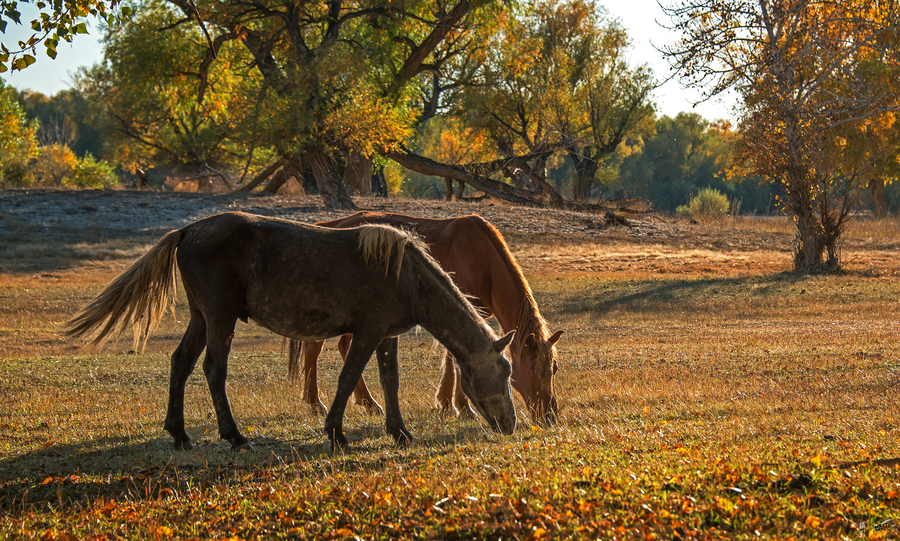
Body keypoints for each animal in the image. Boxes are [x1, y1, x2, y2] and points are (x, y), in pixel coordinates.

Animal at [67, 213, 516, 450]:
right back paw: (235, 437)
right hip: (220, 319)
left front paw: (400, 432)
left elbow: (390, 381)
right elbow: (349, 377)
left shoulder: (387, 335)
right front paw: (335, 433)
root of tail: (189, 231)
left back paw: (179, 435)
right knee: (213, 370)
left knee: (180, 364)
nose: (510, 424)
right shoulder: (368, 333)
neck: (407, 274)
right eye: (506, 371)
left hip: (200, 318)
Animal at [288, 211, 564, 422]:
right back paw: (316, 402)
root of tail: (331, 226)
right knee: (314, 348)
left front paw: (446, 403)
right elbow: (455, 358)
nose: (549, 413)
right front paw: (461, 407)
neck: (481, 260)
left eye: (554, 369)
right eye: (530, 369)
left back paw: (366, 402)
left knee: (342, 346)